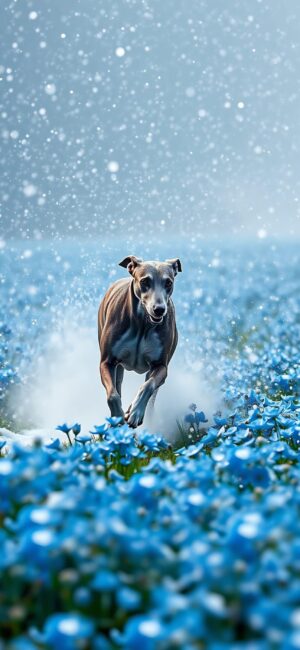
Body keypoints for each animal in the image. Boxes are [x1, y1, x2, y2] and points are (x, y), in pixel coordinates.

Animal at [98, 256, 182, 428]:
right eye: (145, 281)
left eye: (168, 283)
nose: (159, 309)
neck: (142, 323)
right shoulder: (107, 362)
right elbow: (112, 395)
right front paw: (117, 417)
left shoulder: (161, 365)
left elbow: (148, 385)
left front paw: (135, 412)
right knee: (117, 385)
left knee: (151, 390)